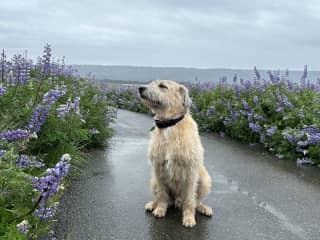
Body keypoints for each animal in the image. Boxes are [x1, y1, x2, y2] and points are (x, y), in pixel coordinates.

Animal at [138, 80, 211, 227]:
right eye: (152, 83)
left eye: (162, 86)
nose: (140, 88)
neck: (169, 125)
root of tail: (177, 199)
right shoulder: (159, 169)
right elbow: (162, 194)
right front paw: (160, 209)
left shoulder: (190, 171)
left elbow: (189, 198)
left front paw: (188, 218)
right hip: (153, 180)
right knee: (164, 197)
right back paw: (153, 204)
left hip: (205, 180)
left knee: (196, 201)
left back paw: (203, 208)